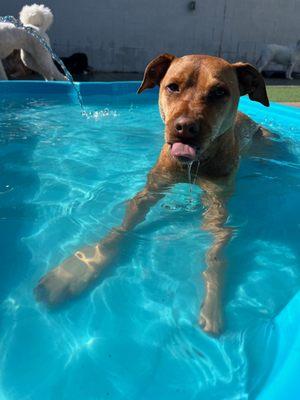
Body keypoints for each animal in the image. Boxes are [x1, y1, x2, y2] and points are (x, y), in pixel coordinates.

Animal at [34, 53, 270, 334]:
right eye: (173, 87)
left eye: (219, 92)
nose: (185, 127)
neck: (195, 166)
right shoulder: (154, 186)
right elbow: (122, 228)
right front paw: (81, 266)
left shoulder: (219, 202)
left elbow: (216, 255)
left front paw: (213, 303)